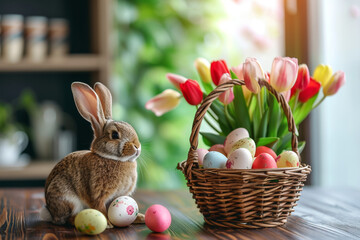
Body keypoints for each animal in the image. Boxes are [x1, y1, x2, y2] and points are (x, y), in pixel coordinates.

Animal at [40, 81, 143, 227]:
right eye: (115, 135)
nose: (137, 147)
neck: (112, 159)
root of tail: (50, 213)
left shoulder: (118, 196)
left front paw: (139, 217)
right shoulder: (98, 194)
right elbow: (100, 208)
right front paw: (108, 224)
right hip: (67, 198)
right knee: (67, 218)